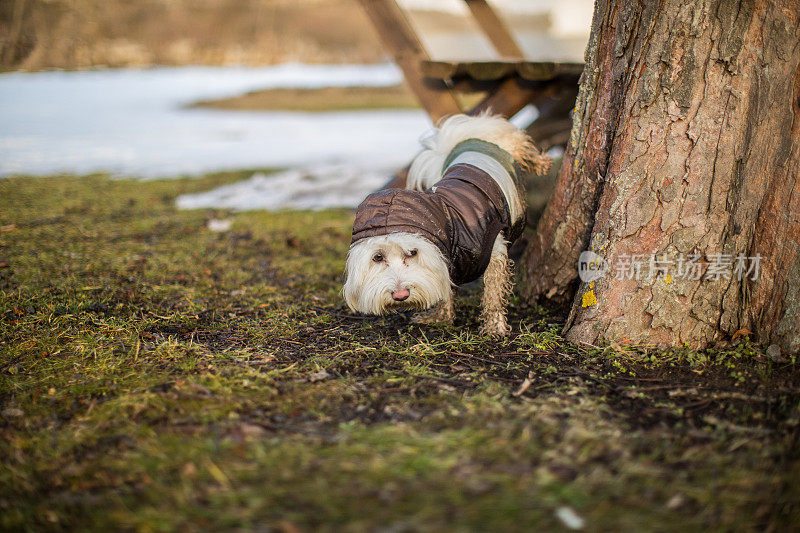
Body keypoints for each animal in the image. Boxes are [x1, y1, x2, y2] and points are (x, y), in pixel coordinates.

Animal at [344, 112, 552, 334]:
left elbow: (493, 294)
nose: (400, 295)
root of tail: (458, 140)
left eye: (413, 253)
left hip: (506, 143)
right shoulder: (444, 264)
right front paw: (441, 317)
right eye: (378, 257)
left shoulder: (494, 253)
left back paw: (541, 162)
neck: (452, 225)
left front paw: (494, 326)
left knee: (522, 146)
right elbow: (445, 288)